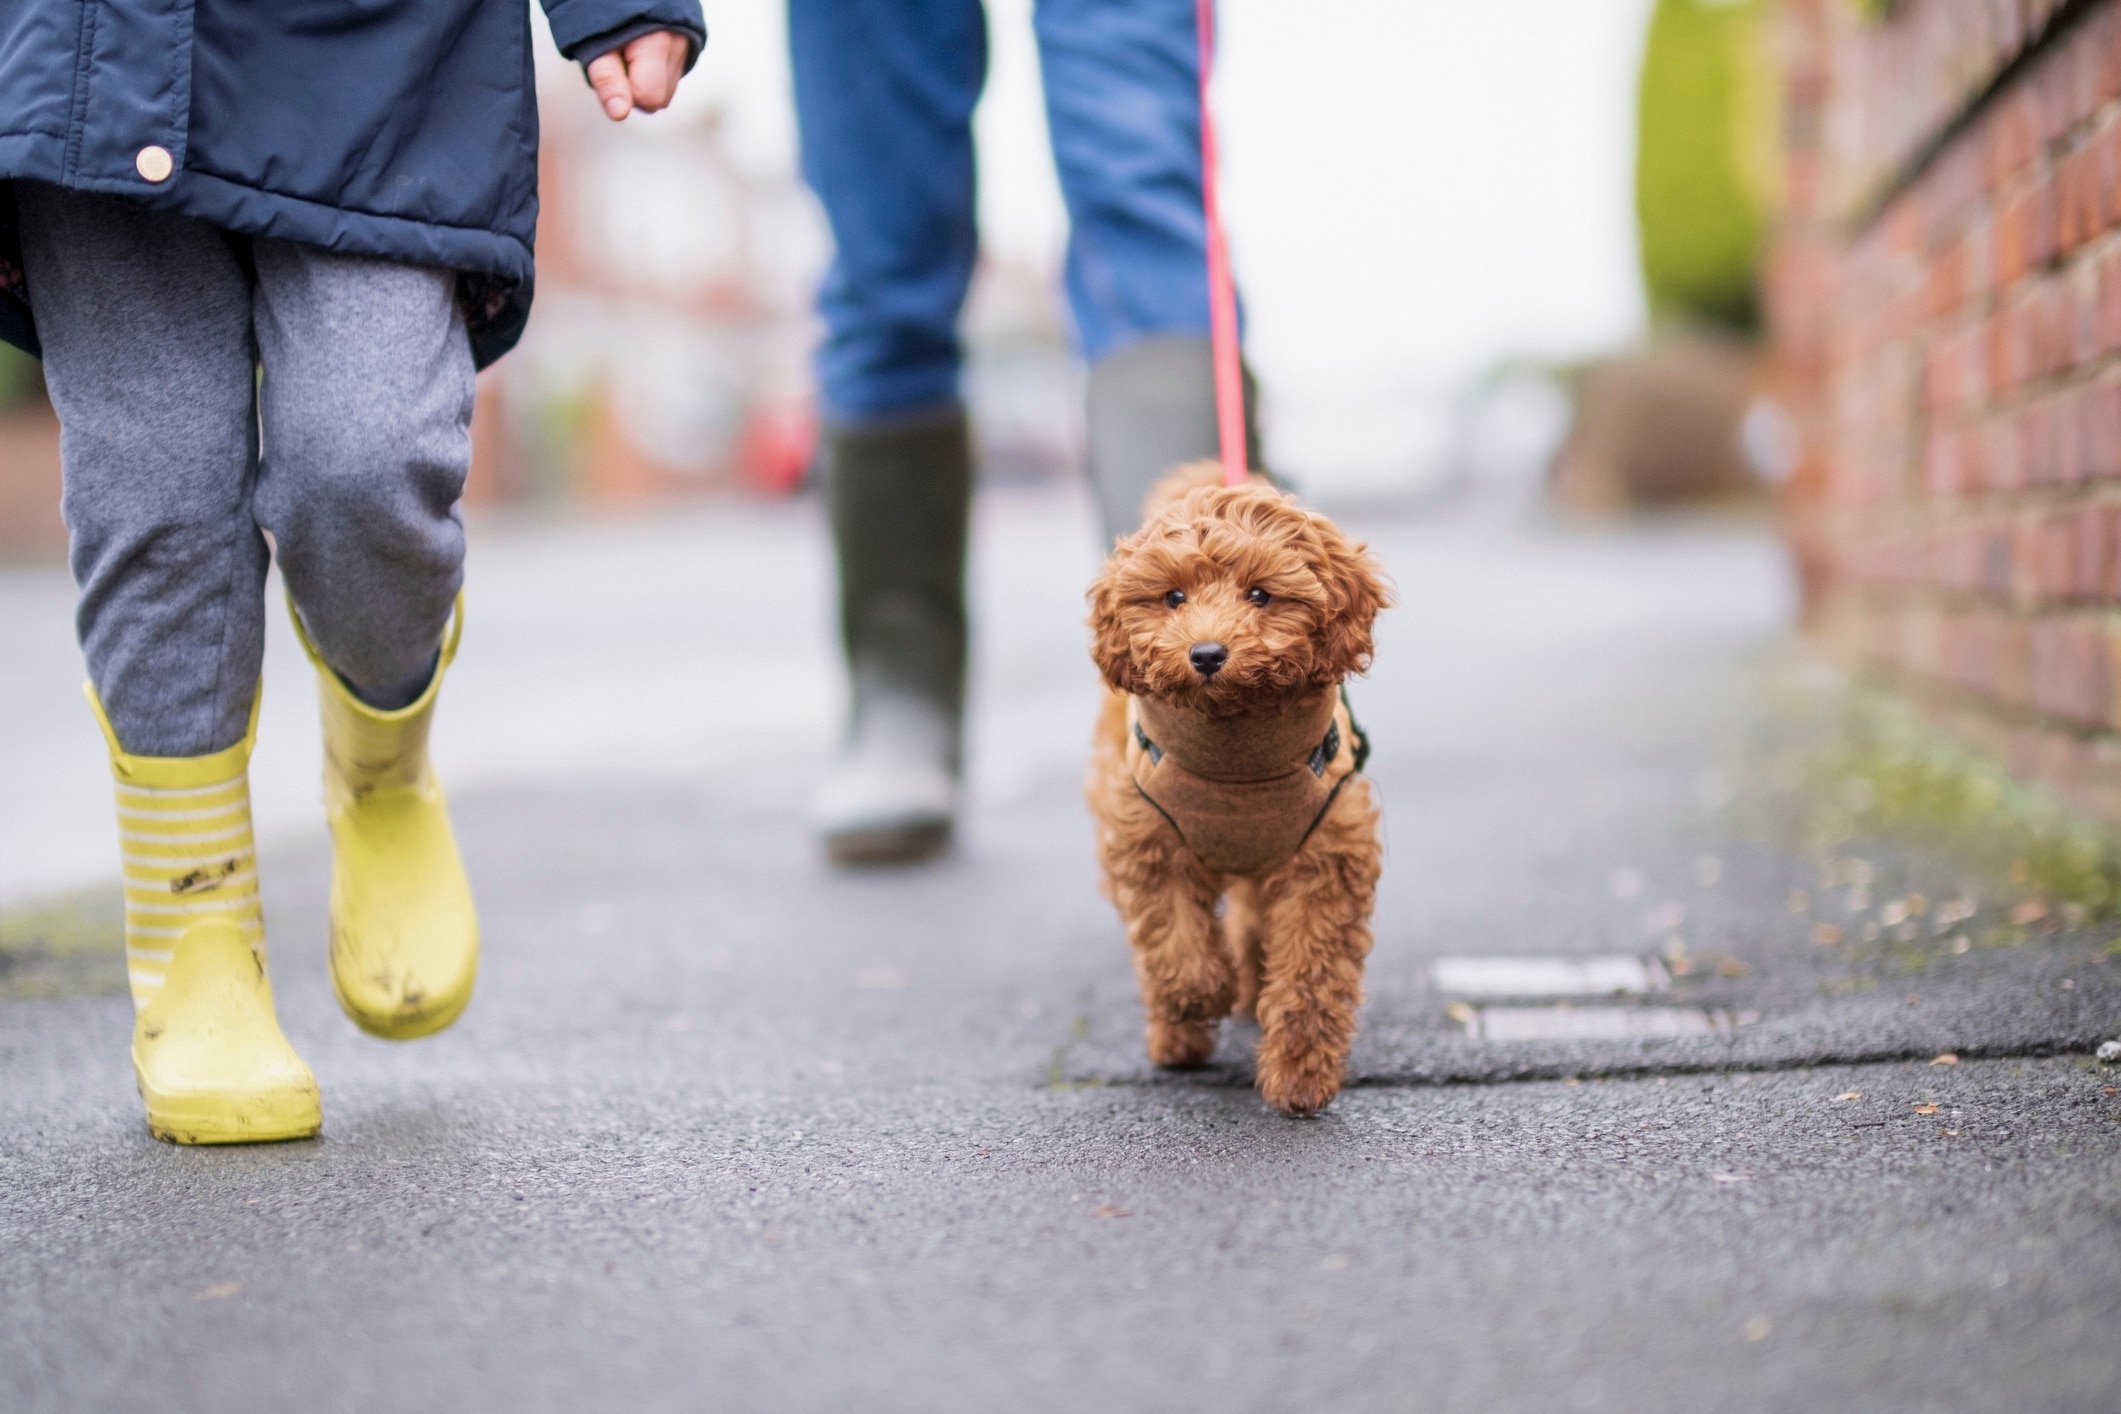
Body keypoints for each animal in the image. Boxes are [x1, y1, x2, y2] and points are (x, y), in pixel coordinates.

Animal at [1085, 466, 1382, 1119]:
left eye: (1260, 595)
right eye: (1174, 598)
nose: (1206, 654)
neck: (1236, 766)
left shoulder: (1328, 856)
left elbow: (1311, 973)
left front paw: (1300, 1077)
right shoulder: (1147, 842)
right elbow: (1175, 948)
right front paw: (1204, 994)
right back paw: (1179, 1038)